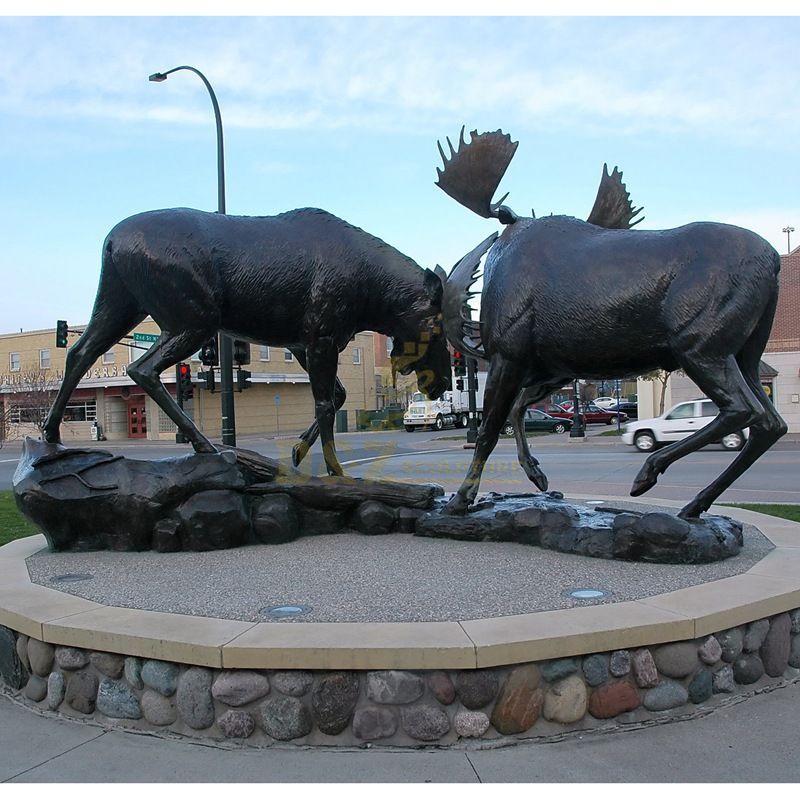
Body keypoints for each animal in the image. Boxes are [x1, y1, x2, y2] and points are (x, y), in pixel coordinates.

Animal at [434, 128, 784, 520]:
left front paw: (461, 499)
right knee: (771, 422)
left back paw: (648, 473)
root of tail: (773, 260)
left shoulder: (509, 354)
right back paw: (693, 505)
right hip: (745, 352)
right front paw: (537, 474)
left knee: (743, 409)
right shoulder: (553, 368)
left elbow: (489, 430)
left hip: (700, 345)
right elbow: (518, 409)